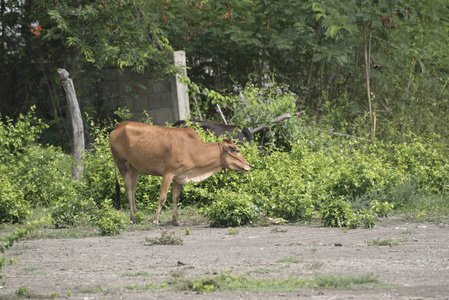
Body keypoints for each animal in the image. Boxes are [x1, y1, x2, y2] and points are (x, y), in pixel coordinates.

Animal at [107, 121, 250, 225]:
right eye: (236, 150)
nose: (248, 165)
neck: (193, 148)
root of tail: (120, 126)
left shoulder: (179, 177)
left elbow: (175, 198)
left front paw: (176, 220)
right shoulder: (168, 173)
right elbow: (162, 198)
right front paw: (155, 220)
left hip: (134, 168)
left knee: (133, 191)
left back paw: (136, 215)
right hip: (122, 164)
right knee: (128, 192)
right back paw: (133, 218)